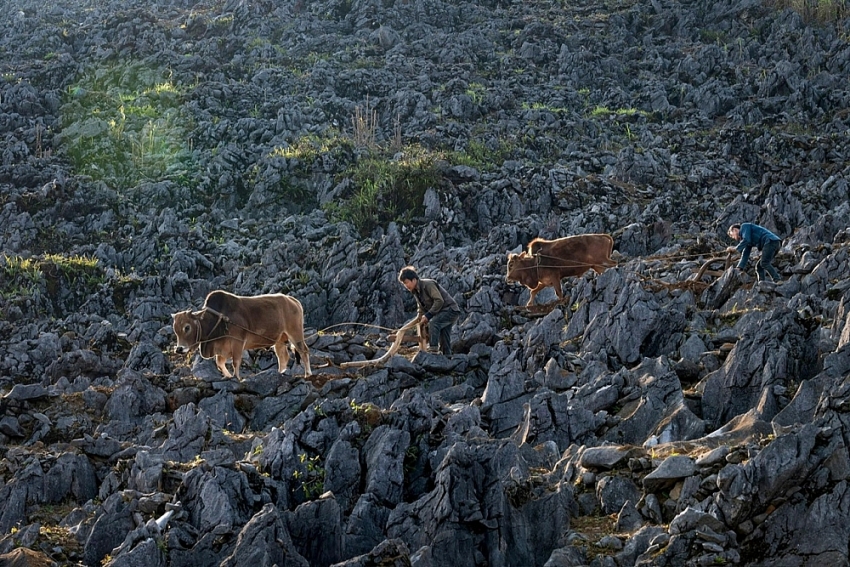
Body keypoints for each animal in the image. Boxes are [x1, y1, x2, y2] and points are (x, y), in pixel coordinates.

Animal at [171, 290, 310, 380]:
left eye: (187, 327)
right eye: (175, 329)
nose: (179, 349)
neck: (217, 319)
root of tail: (293, 301)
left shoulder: (237, 342)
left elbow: (235, 362)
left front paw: (237, 377)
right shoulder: (221, 348)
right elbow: (219, 363)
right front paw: (228, 376)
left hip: (295, 333)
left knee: (303, 350)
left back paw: (307, 373)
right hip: (279, 339)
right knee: (283, 356)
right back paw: (281, 372)